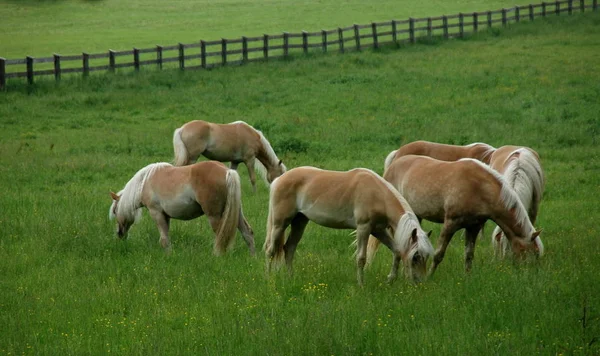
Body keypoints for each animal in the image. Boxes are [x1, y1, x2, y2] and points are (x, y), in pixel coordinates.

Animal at [109, 160, 254, 254]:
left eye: (115, 211)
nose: (119, 234)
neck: (145, 181)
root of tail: (227, 171)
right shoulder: (166, 216)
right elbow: (166, 237)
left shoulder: (156, 213)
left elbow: (164, 239)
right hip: (236, 212)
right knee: (247, 233)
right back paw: (253, 257)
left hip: (214, 216)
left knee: (220, 237)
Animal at [262, 166, 432, 286]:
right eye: (416, 257)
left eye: (426, 257)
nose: (420, 282)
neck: (377, 194)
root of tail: (278, 180)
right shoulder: (364, 228)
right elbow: (361, 258)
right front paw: (361, 285)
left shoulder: (378, 230)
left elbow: (396, 251)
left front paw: (390, 279)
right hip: (280, 224)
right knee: (271, 250)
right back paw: (269, 279)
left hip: (299, 222)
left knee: (289, 248)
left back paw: (291, 278)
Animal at [370, 155, 544, 276]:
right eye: (530, 252)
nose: (529, 274)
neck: (479, 187)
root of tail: (393, 165)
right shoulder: (451, 223)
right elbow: (438, 254)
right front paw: (430, 276)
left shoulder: (473, 227)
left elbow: (469, 255)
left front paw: (467, 277)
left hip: (416, 216)